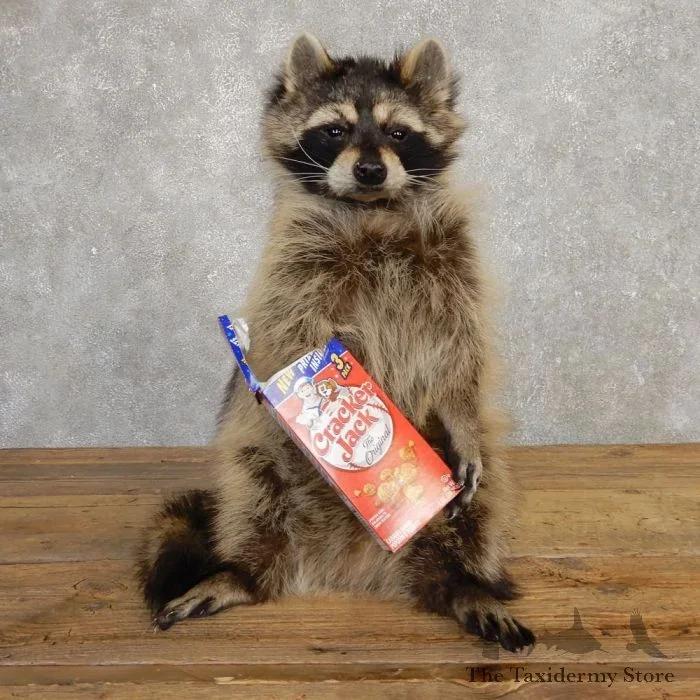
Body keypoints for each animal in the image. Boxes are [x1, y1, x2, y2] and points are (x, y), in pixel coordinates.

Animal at [137, 34, 535, 653]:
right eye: (335, 130)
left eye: (398, 132)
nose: (370, 170)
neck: (373, 211)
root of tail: (348, 568)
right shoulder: (295, 267)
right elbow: (293, 337)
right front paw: (331, 391)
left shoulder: (454, 263)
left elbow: (459, 353)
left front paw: (460, 409)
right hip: (262, 456)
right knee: (252, 488)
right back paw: (242, 572)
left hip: (459, 486)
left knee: (483, 497)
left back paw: (463, 582)